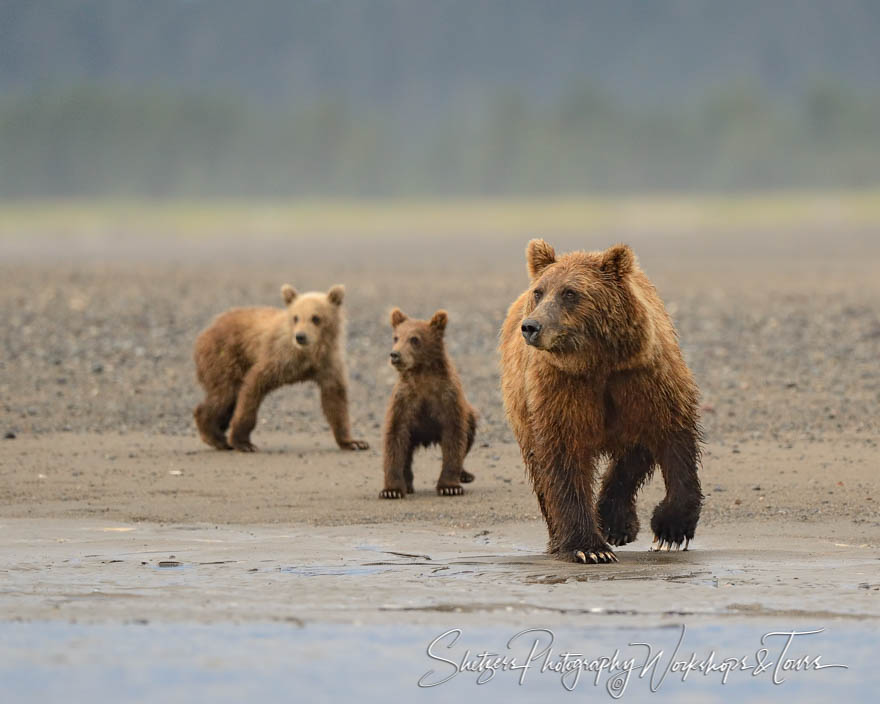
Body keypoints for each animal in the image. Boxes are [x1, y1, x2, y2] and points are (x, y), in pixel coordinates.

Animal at [192, 284, 368, 454]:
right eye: (296, 317)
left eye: (316, 318)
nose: (300, 336)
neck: (306, 355)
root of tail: (206, 331)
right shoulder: (277, 358)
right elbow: (252, 387)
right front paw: (244, 443)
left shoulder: (328, 364)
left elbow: (335, 401)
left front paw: (354, 442)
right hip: (225, 357)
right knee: (224, 395)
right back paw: (216, 437)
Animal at [378, 310, 474, 500]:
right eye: (396, 337)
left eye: (414, 339)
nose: (395, 355)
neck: (422, 374)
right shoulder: (404, 401)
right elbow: (394, 439)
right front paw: (392, 490)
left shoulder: (447, 398)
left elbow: (454, 437)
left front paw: (450, 487)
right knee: (406, 452)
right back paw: (407, 483)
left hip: (470, 415)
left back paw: (465, 474)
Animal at [502, 239, 700, 564]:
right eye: (539, 292)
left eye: (570, 292)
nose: (531, 326)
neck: (598, 363)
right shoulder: (561, 388)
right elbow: (563, 459)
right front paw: (589, 548)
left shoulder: (644, 379)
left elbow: (674, 440)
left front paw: (670, 531)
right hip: (521, 406)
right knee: (541, 471)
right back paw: (563, 536)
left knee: (632, 456)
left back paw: (616, 523)